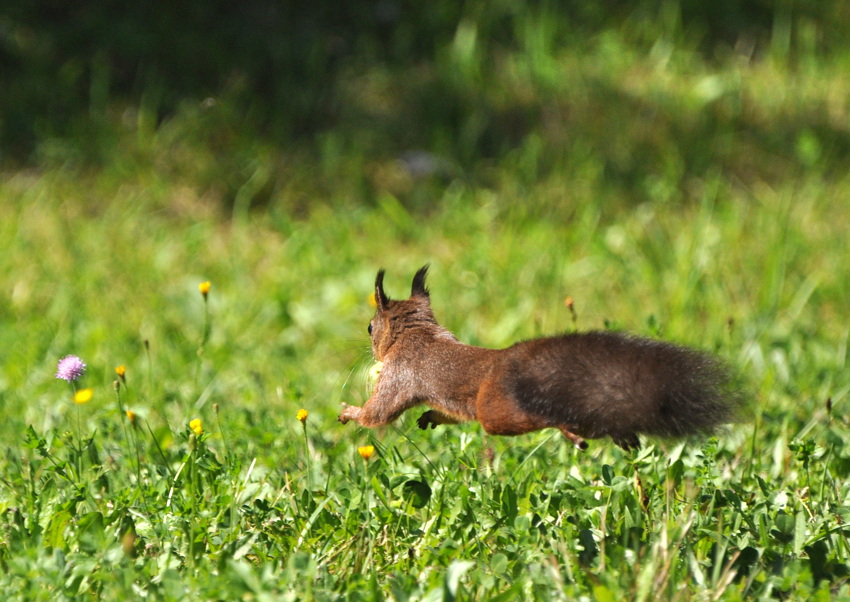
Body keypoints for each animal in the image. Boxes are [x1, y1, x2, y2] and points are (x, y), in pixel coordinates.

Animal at [338, 264, 744, 448]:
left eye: (370, 328)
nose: (369, 346)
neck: (417, 334)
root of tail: (511, 361)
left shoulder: (398, 374)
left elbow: (378, 414)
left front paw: (350, 412)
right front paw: (431, 417)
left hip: (496, 413)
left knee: (540, 418)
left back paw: (570, 431)